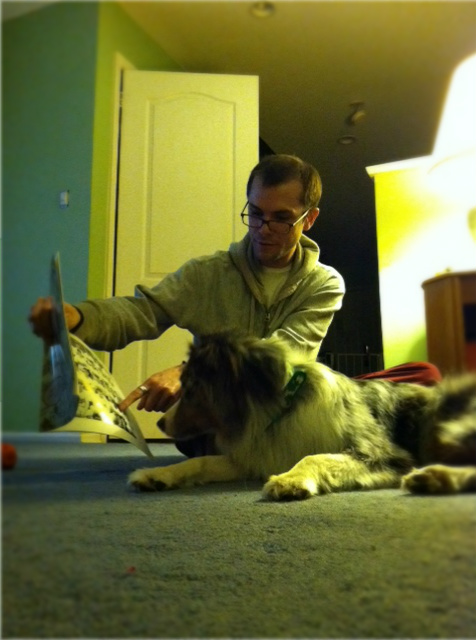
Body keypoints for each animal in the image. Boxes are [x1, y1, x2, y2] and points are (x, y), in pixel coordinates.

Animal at [128, 332, 476, 500]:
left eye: (190, 388)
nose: (160, 423)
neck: (281, 411)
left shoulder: (379, 453)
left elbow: (315, 456)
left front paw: (290, 480)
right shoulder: (254, 456)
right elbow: (199, 462)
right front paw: (156, 475)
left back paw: (434, 476)